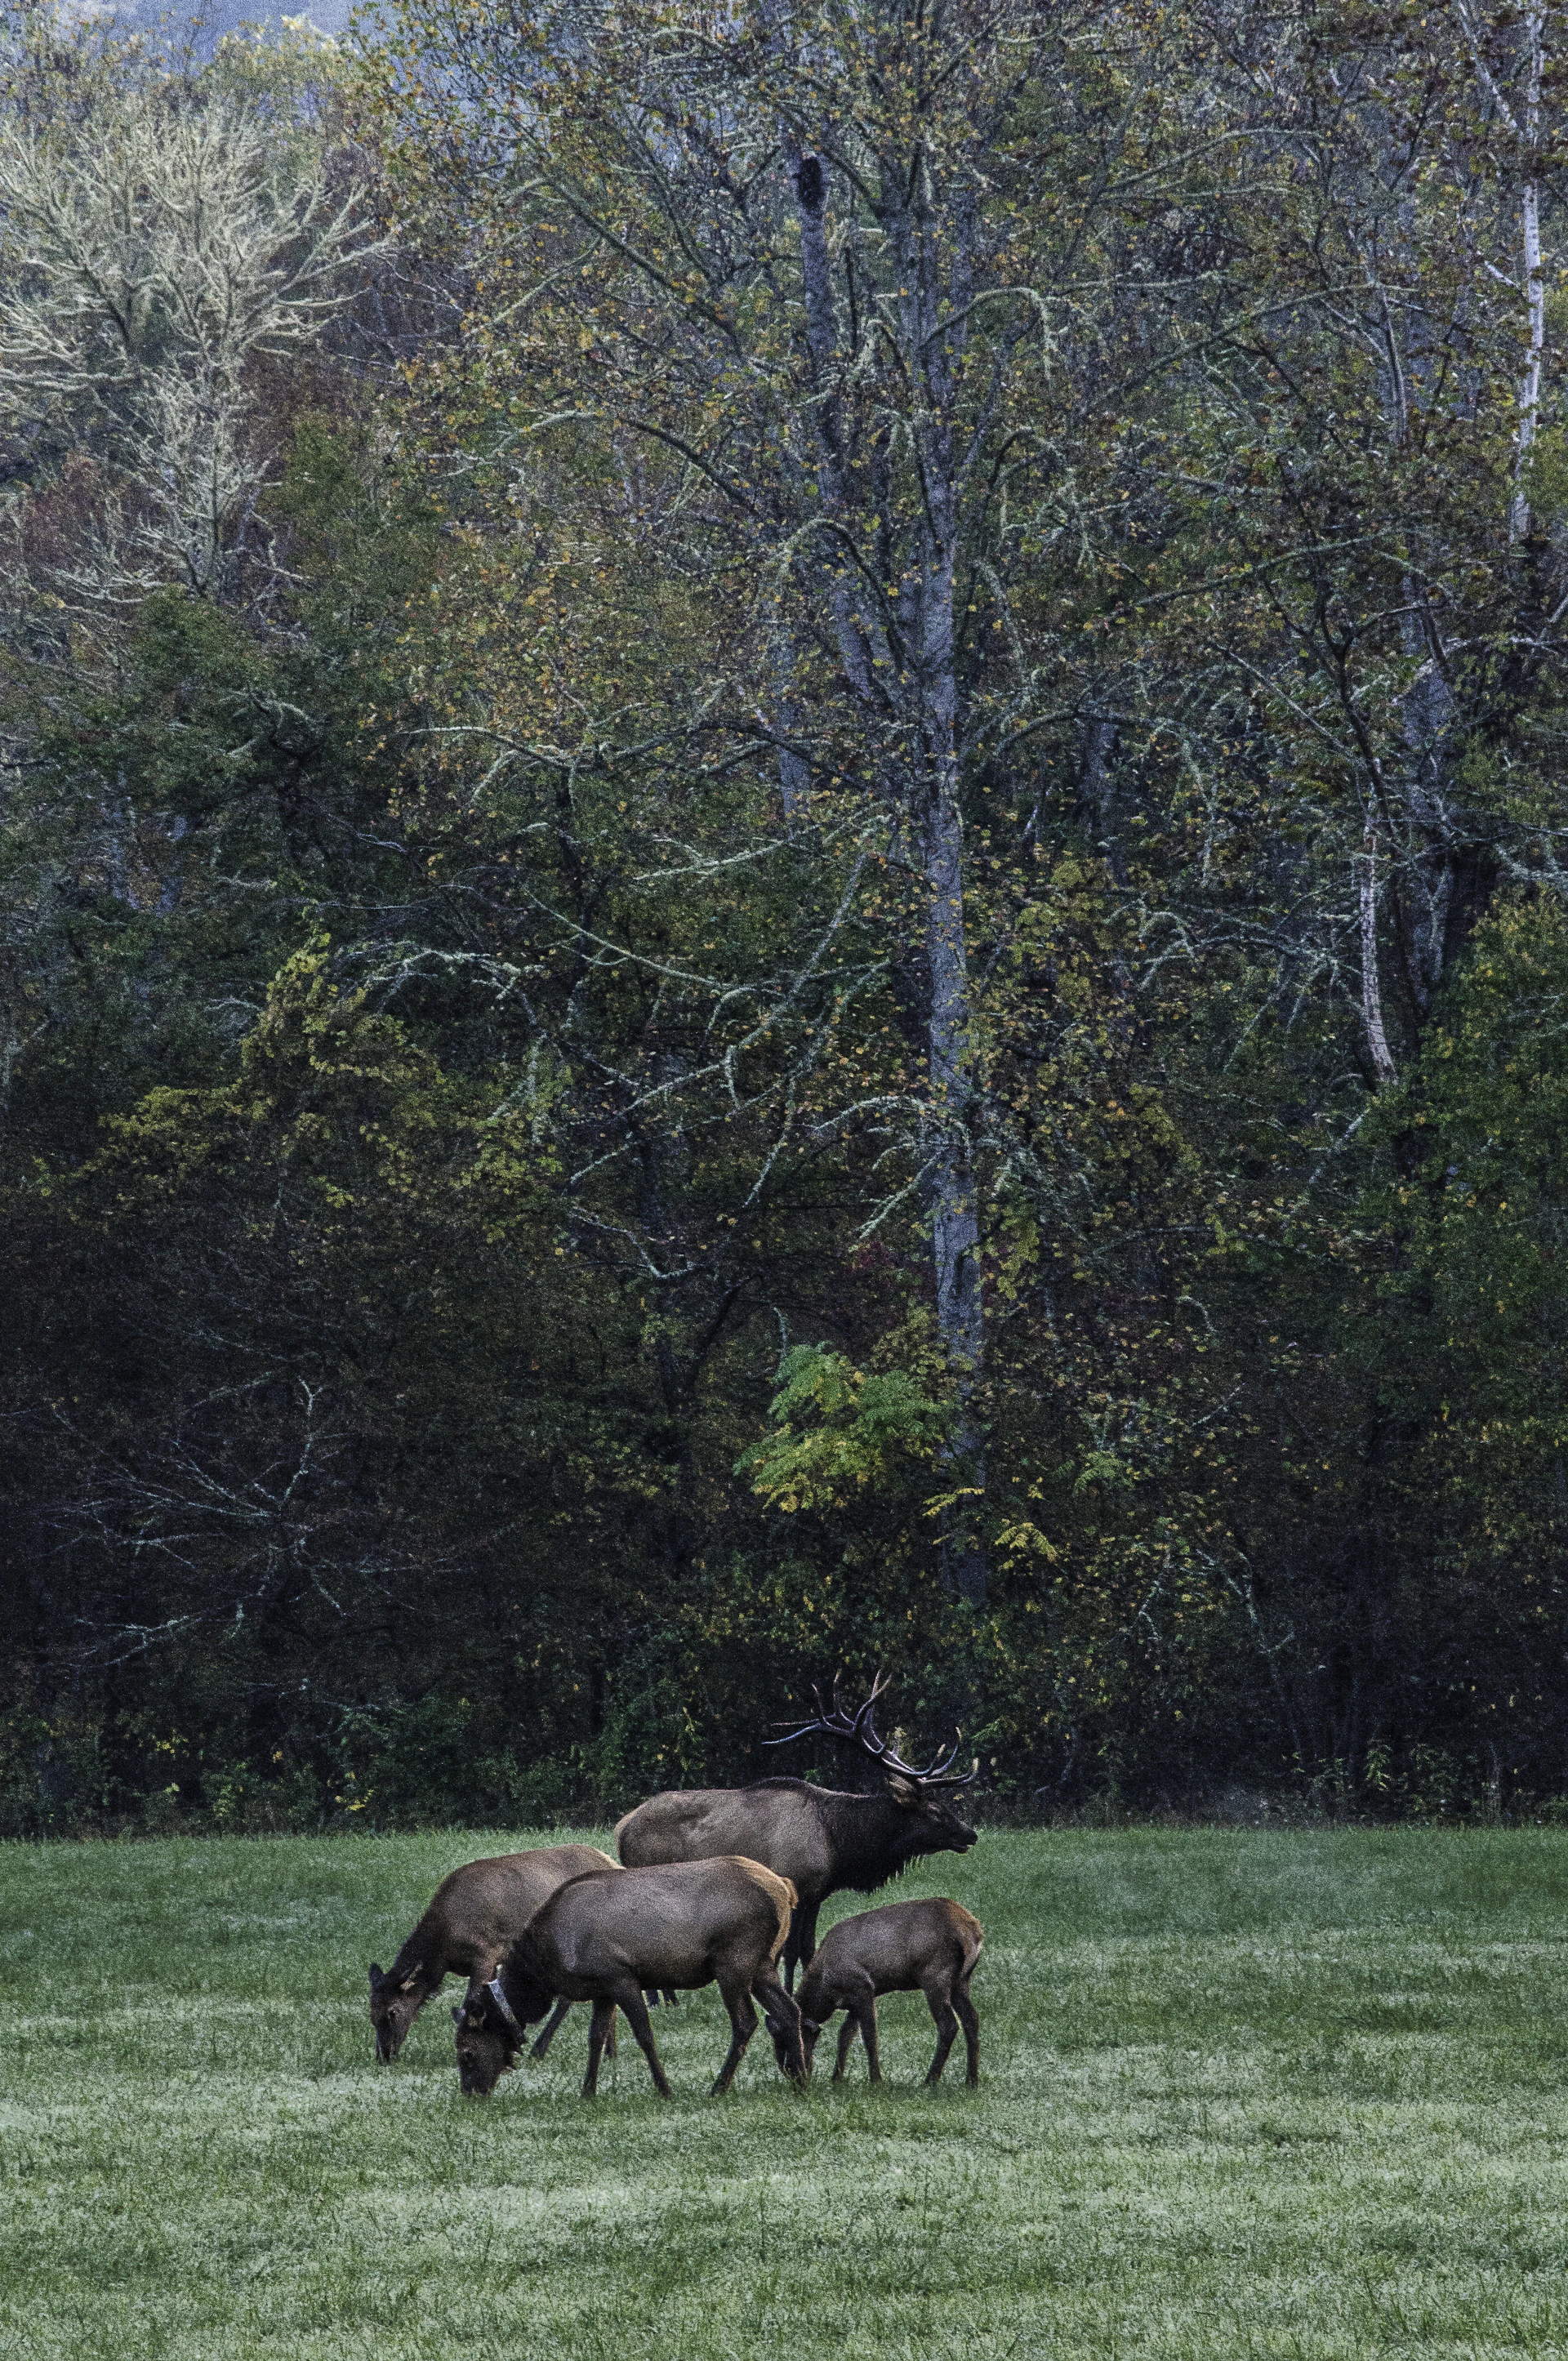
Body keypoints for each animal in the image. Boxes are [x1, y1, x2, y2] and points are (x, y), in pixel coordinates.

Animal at [452, 1857, 806, 2099]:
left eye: (467, 2053)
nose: (470, 2093)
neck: (544, 1962)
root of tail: (785, 1889)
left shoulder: (620, 1976)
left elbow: (644, 2035)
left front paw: (664, 2088)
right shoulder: (601, 1989)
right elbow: (595, 2038)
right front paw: (588, 2091)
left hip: (733, 1962)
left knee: (746, 2021)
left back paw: (719, 2086)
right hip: (763, 1965)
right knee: (790, 2011)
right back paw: (802, 2077)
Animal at [614, 1674, 978, 1987]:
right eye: (933, 1811)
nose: (970, 1834)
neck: (838, 1841)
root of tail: (621, 1827)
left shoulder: (816, 1895)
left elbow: (808, 1949)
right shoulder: (796, 1885)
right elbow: (788, 1953)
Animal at [772, 1897, 983, 2086]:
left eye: (786, 2037)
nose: (790, 2071)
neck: (825, 1992)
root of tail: (974, 1933)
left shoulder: (863, 1988)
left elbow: (869, 2035)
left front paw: (876, 2080)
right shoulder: (854, 2001)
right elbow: (845, 2035)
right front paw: (836, 2077)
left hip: (935, 1977)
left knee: (949, 2024)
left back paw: (930, 2080)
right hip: (961, 1981)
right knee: (971, 2019)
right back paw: (971, 2079)